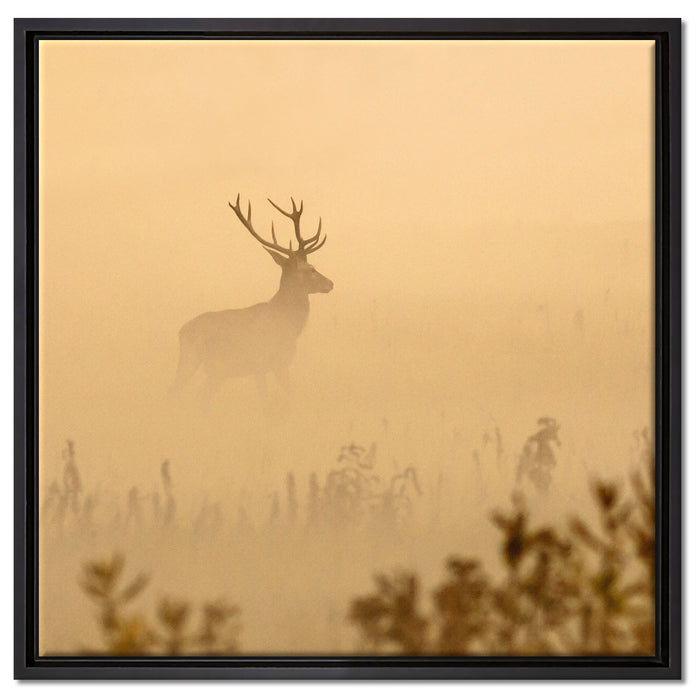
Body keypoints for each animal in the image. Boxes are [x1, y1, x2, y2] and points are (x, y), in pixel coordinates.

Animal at [171, 195, 333, 401]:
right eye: (311, 269)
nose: (330, 283)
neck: (288, 322)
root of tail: (181, 332)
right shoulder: (274, 363)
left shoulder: (262, 368)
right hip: (195, 361)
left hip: (213, 371)